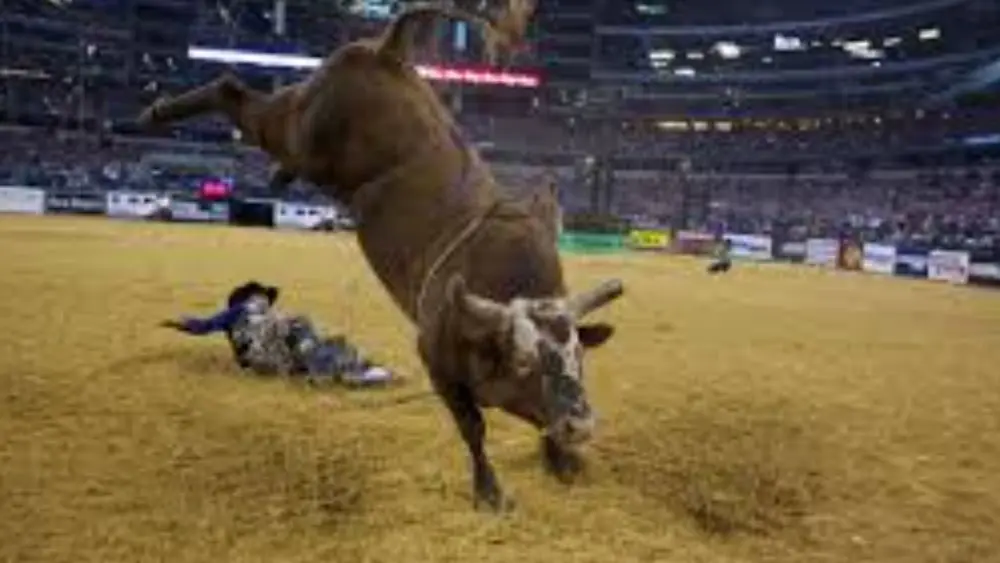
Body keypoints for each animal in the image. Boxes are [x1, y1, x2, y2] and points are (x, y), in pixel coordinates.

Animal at [136, 0, 625, 511]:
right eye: (526, 363)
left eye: (579, 357)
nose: (581, 424)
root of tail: (387, 51)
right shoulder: (435, 360)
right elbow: (473, 427)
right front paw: (489, 491)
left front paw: (562, 460)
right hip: (297, 126)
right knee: (233, 91)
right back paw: (157, 111)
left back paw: (276, 173)